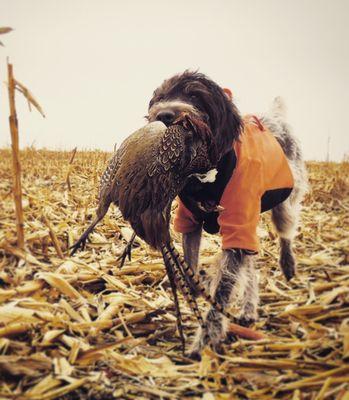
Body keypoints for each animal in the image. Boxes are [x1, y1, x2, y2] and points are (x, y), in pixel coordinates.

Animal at [147, 71, 308, 356]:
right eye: (159, 97)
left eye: (195, 95)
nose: (163, 114)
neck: (206, 176)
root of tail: (276, 118)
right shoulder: (189, 221)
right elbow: (191, 260)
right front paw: (192, 290)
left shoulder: (239, 227)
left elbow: (223, 289)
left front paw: (205, 339)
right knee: (252, 266)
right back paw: (249, 309)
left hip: (284, 200)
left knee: (286, 231)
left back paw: (288, 264)